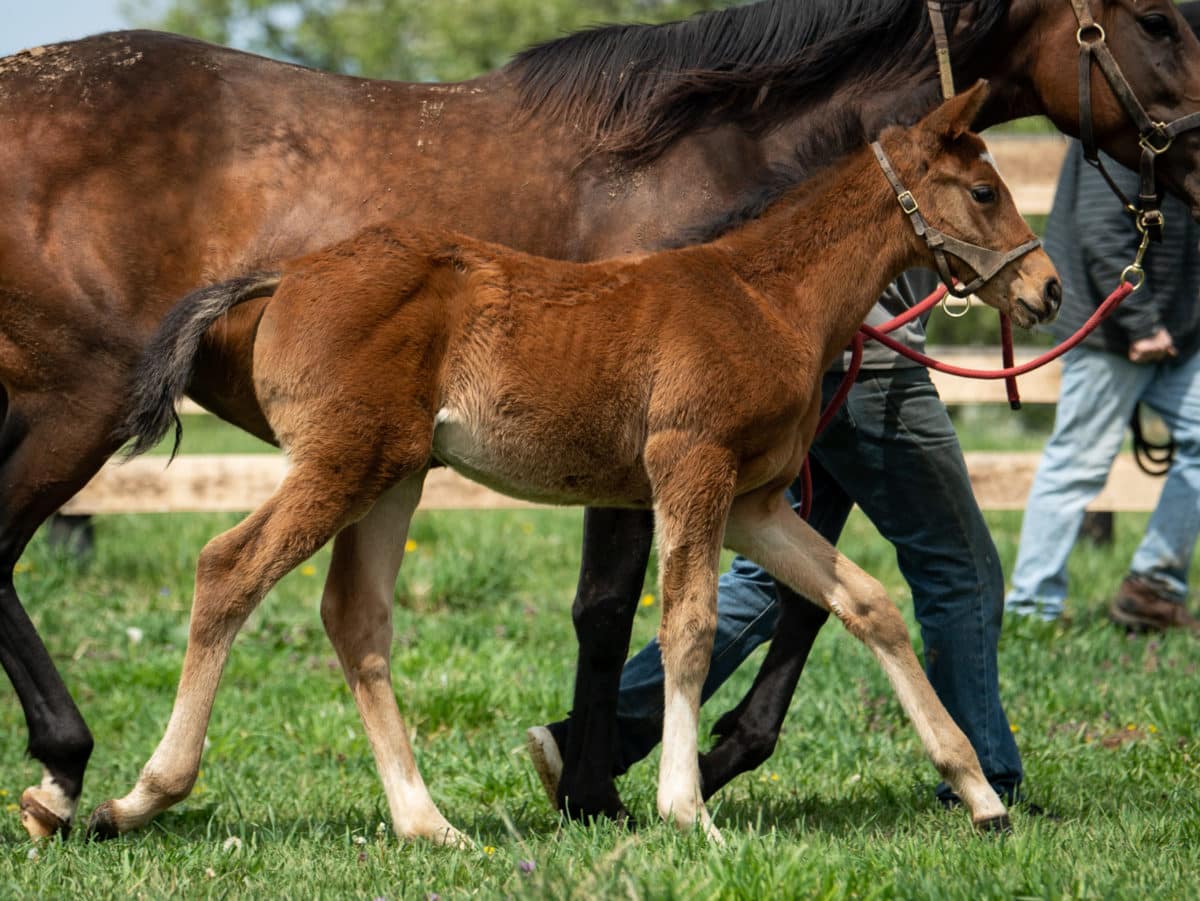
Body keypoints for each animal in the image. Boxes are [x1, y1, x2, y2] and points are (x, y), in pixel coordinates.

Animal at [105, 84, 1060, 844]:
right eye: (983, 190)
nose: (1046, 288)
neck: (766, 295)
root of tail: (289, 276)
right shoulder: (691, 465)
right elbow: (687, 626)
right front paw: (687, 809)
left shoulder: (752, 501)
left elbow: (867, 603)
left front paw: (979, 791)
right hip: (345, 459)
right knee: (229, 567)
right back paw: (138, 796)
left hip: (395, 471)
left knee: (356, 618)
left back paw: (427, 823)